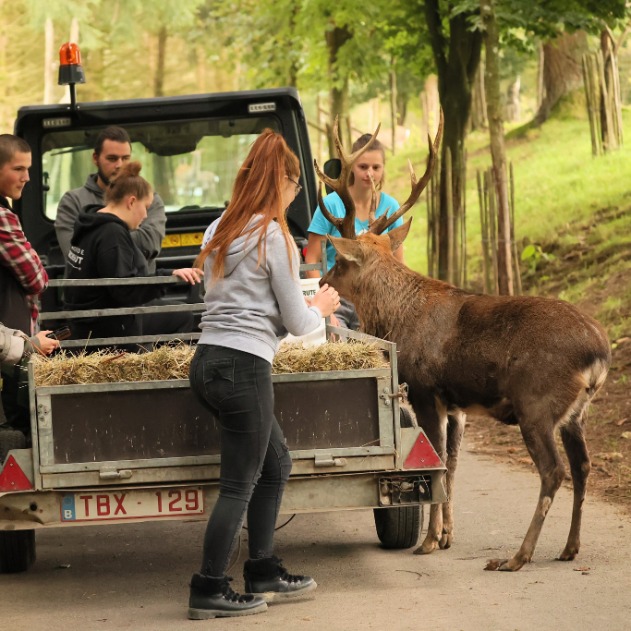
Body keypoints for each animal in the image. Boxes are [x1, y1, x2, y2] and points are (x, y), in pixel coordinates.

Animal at [316, 115, 612, 572]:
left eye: (342, 261)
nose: (320, 281)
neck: (398, 318)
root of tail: (599, 351)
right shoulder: (457, 403)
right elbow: (452, 463)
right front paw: (446, 537)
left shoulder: (424, 388)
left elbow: (437, 462)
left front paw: (427, 541)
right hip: (575, 412)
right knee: (582, 466)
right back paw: (569, 548)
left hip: (537, 401)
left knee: (554, 471)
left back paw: (517, 556)